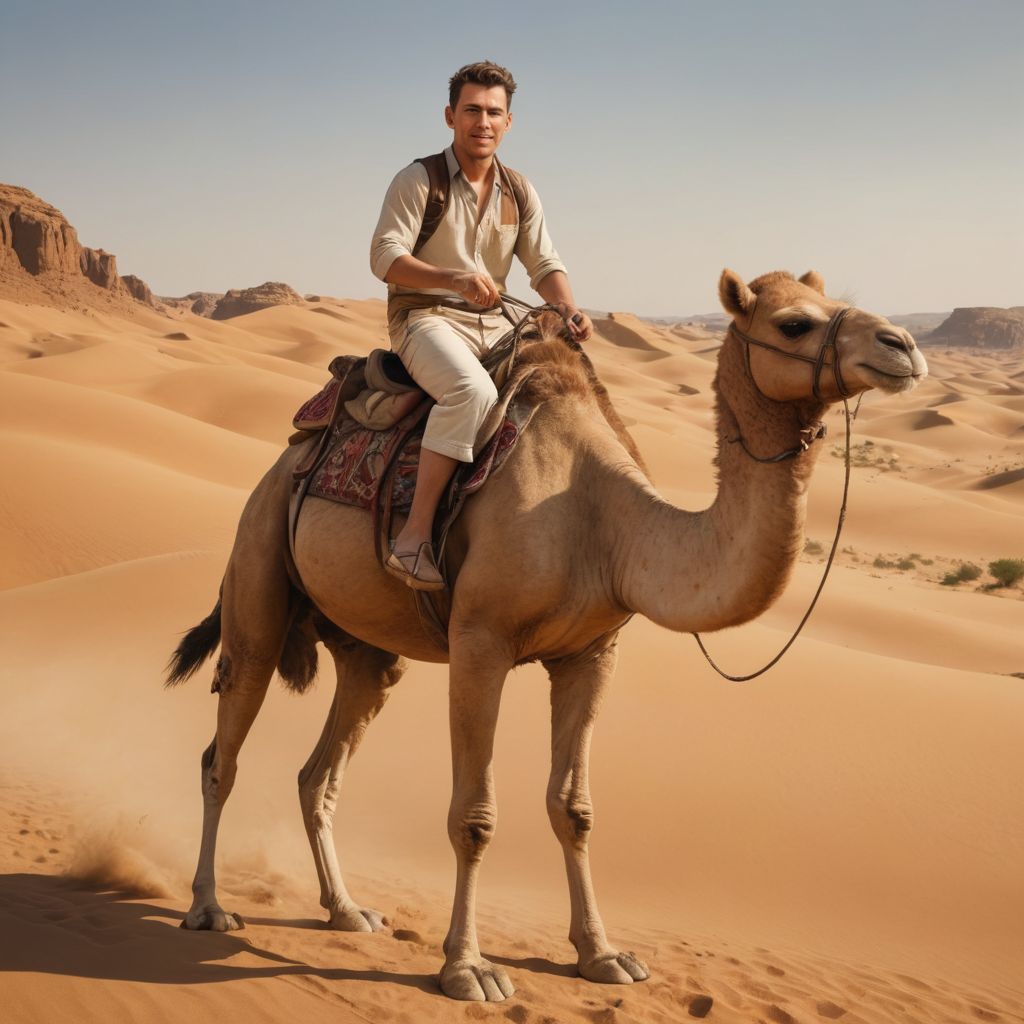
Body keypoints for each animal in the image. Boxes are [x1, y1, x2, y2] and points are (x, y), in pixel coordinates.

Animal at [166, 269, 927, 1002]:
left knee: (320, 771)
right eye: (793, 323)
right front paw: (467, 969)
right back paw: (207, 908)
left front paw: (603, 955)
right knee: (222, 752)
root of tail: (283, 460)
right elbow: (474, 816)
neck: (604, 520)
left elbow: (574, 807)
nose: (902, 346)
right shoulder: (481, 642)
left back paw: (348, 911)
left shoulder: (591, 654)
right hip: (259, 564)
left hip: (367, 649)